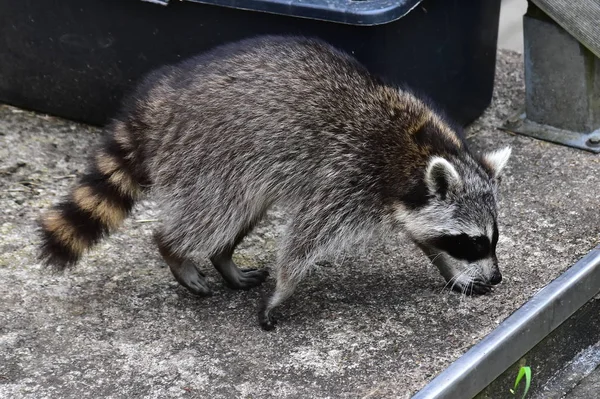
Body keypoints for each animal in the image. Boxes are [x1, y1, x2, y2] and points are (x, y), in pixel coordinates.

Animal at [36, 36, 510, 332]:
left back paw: (224, 257)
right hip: (210, 154)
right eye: (473, 242)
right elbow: (304, 238)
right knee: (214, 214)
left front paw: (453, 273)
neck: (417, 152)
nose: (497, 279)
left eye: (490, 239)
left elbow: (424, 238)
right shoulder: (346, 176)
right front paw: (283, 291)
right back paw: (174, 249)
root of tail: (160, 99)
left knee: (240, 214)